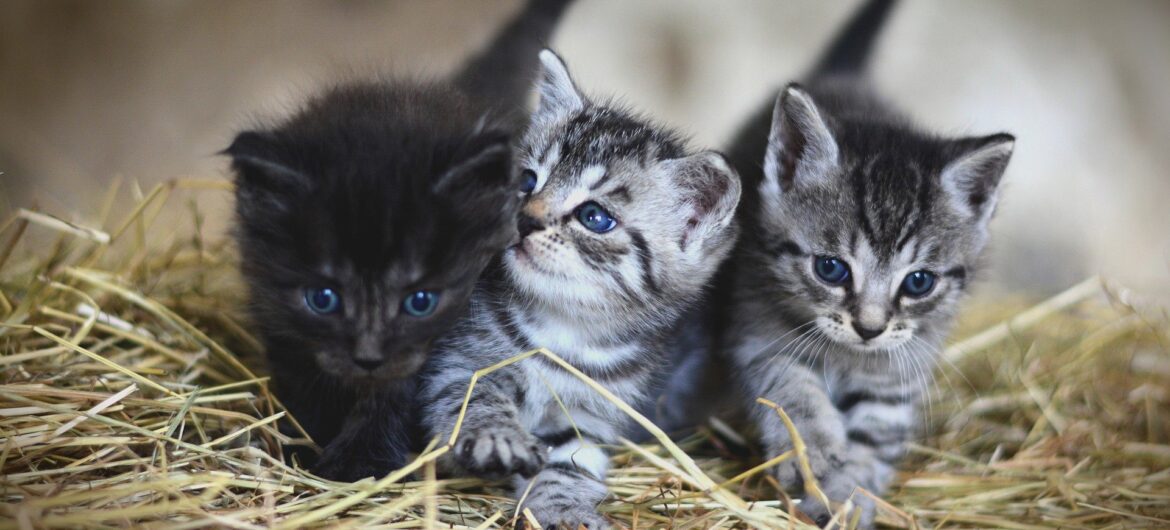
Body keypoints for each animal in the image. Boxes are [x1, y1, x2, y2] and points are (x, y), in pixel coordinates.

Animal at [225, 0, 573, 479]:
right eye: (323, 299)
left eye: (420, 301)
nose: (369, 357)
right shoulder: (278, 319)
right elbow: (304, 382)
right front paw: (305, 444)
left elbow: (394, 393)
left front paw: (360, 461)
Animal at [421, 50, 739, 528]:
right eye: (526, 181)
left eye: (594, 217)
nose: (525, 220)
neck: (564, 327)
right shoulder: (456, 363)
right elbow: (473, 396)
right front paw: (497, 434)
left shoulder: (592, 414)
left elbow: (569, 463)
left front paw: (565, 508)